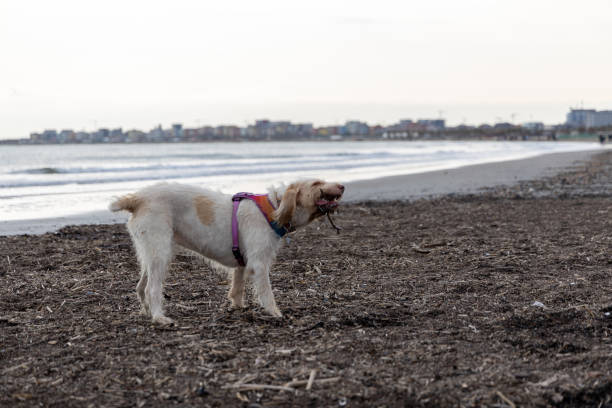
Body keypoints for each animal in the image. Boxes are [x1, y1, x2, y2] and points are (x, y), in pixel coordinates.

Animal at [107, 178, 342, 326]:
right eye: (316, 184)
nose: (342, 186)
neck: (273, 207)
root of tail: (137, 198)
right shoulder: (259, 264)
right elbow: (266, 293)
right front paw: (275, 313)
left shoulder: (242, 263)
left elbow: (237, 289)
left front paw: (238, 307)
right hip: (160, 253)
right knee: (151, 289)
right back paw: (159, 317)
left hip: (151, 253)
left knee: (140, 287)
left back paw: (147, 312)